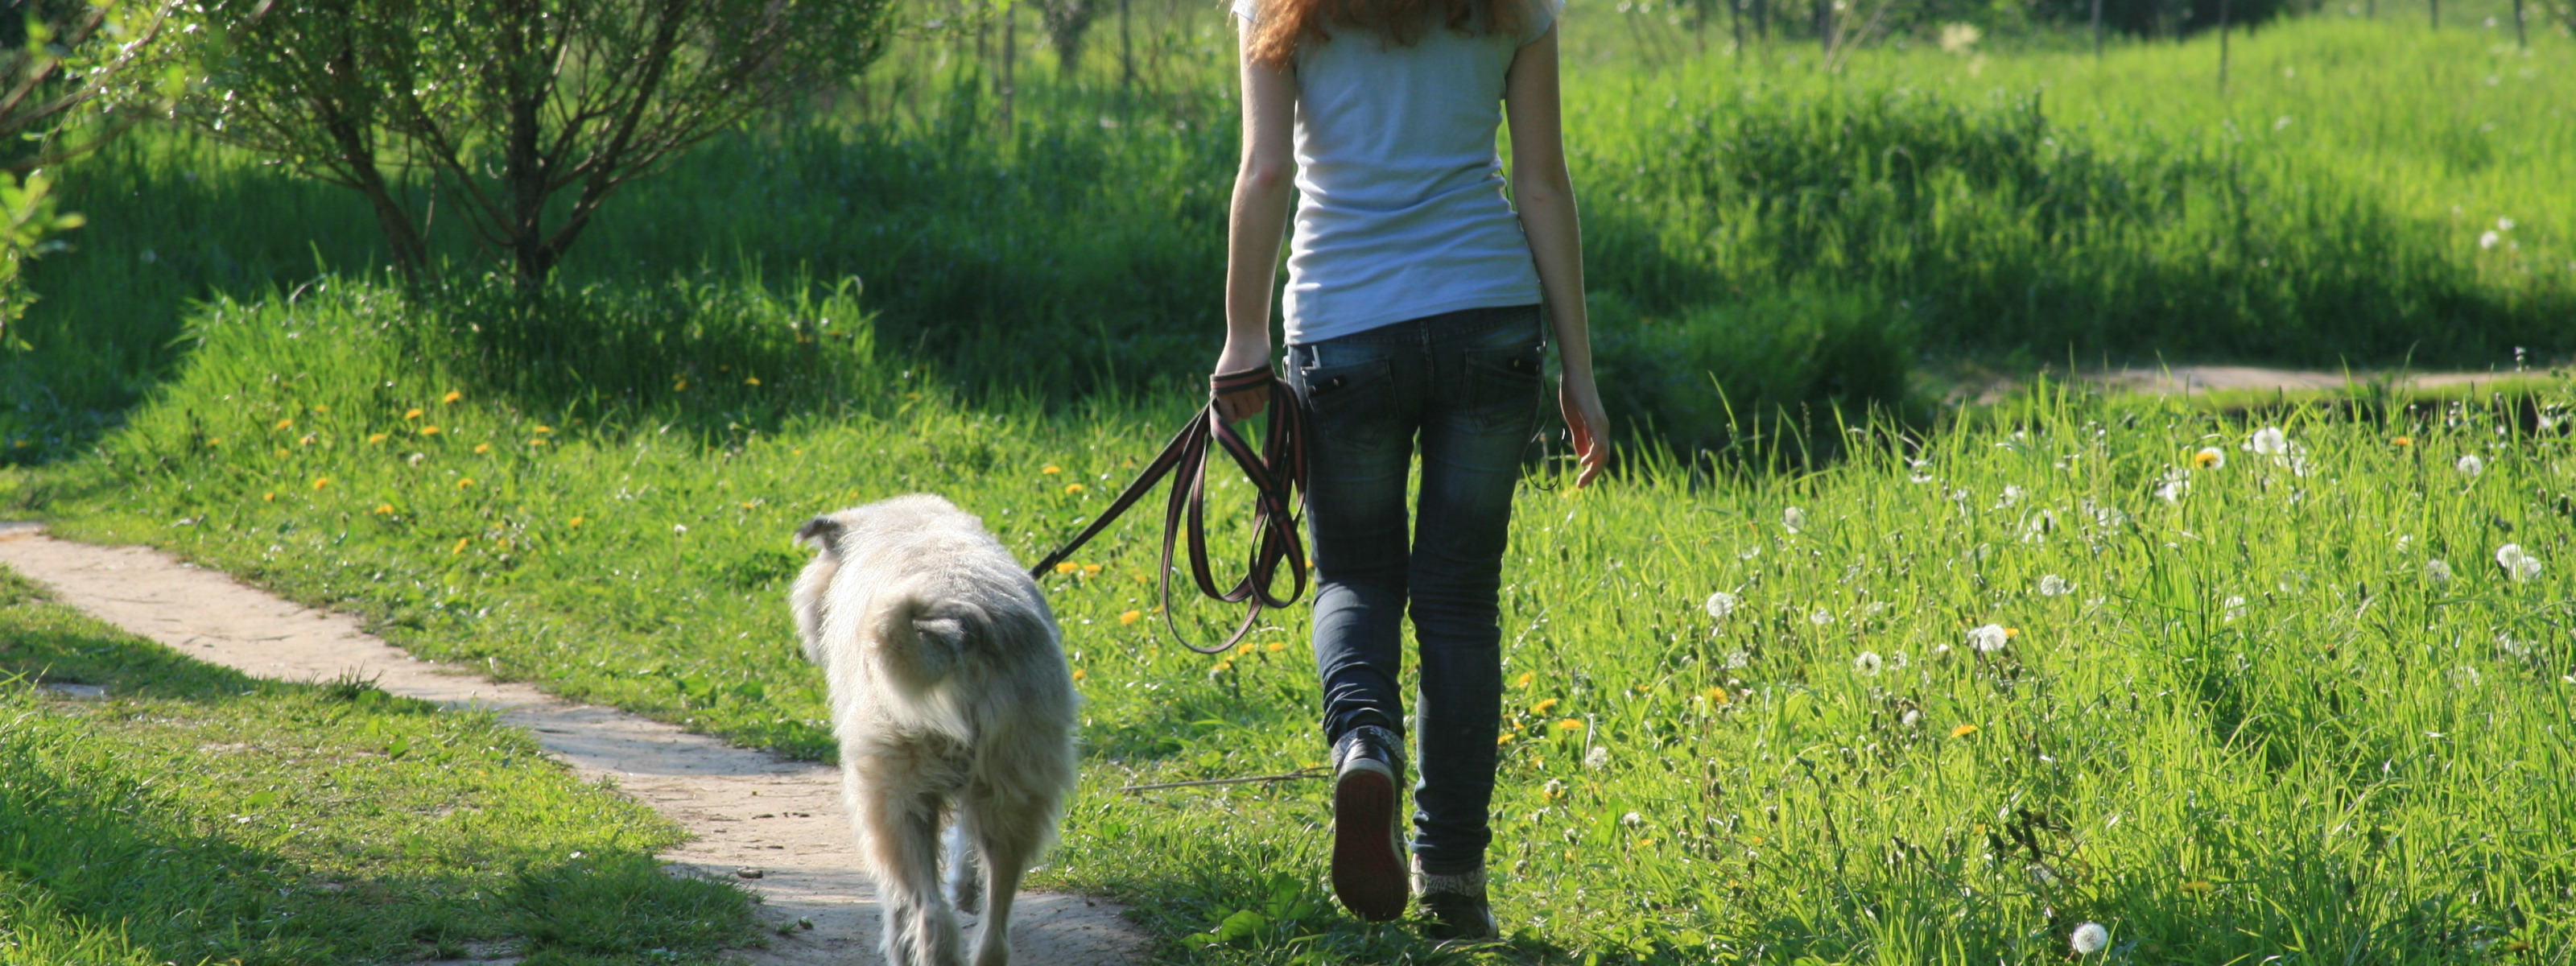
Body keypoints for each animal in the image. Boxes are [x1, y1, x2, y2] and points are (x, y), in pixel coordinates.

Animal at [778, 499, 1071, 966]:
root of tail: (955, 630)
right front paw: (966, 889)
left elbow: (896, 899)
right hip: (1017, 784)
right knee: (994, 927)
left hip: (895, 797)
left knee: (930, 914)